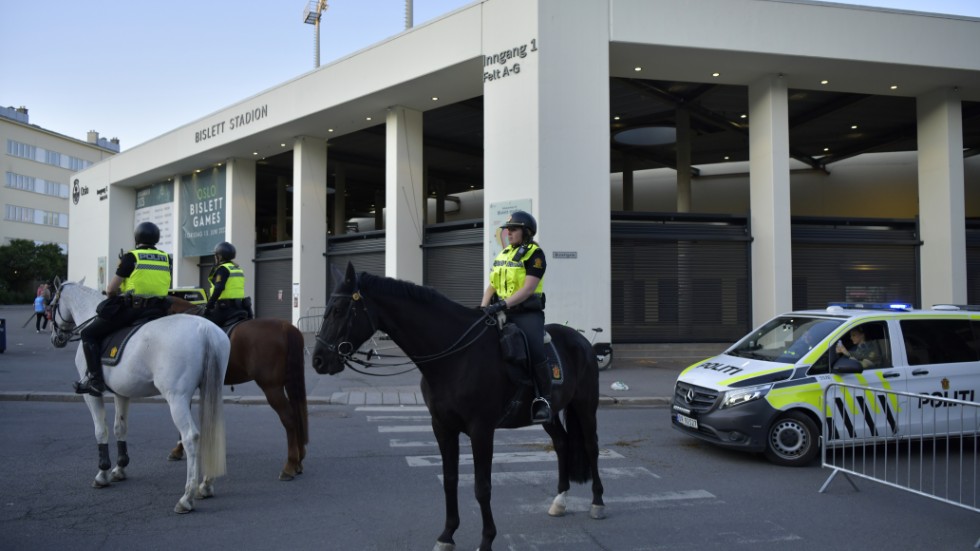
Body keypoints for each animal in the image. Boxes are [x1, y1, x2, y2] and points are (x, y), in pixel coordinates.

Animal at [50, 282, 233, 516]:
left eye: (52, 305)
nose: (56, 339)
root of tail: (205, 329)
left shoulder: (92, 394)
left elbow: (101, 430)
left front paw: (102, 474)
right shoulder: (122, 393)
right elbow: (120, 428)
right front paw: (119, 468)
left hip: (177, 399)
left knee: (191, 437)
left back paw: (187, 497)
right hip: (210, 391)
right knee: (211, 430)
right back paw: (206, 485)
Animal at [167, 300, 306, 480]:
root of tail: (285, 327)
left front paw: (179, 449)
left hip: (272, 388)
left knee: (289, 417)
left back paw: (290, 465)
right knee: (297, 414)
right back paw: (298, 461)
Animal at [314, 264, 604, 551]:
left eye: (338, 310)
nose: (318, 359)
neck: (455, 356)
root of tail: (581, 341)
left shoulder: (481, 430)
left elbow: (482, 487)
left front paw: (486, 539)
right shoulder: (442, 427)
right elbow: (449, 480)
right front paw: (447, 535)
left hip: (585, 406)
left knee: (591, 447)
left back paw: (597, 502)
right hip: (549, 414)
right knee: (562, 443)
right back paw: (560, 501)